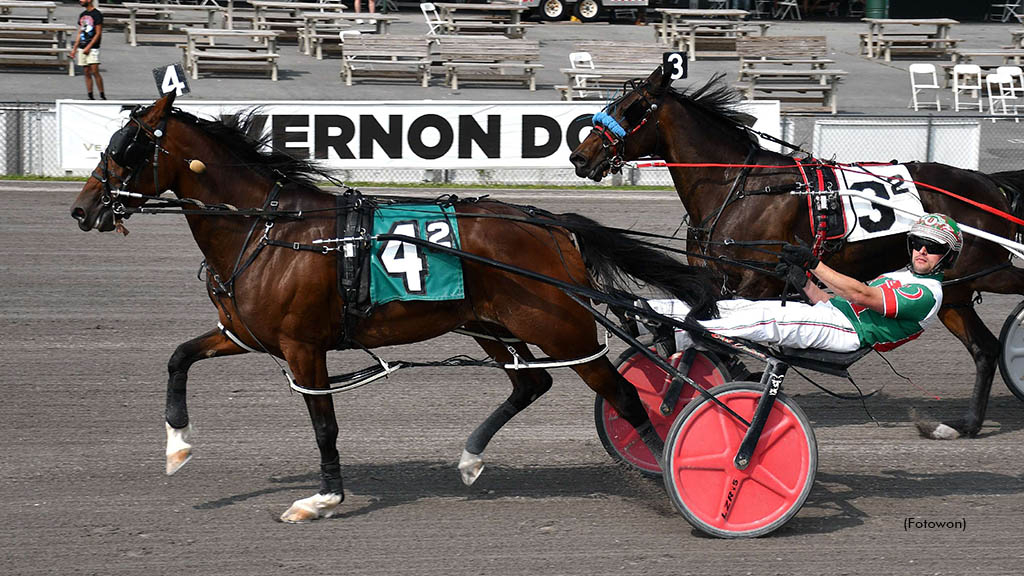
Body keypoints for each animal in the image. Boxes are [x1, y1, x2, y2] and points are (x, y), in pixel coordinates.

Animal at [70, 91, 720, 522]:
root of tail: (553, 224)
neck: (270, 230)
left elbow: (324, 424)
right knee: (530, 384)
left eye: (127, 147)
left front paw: (322, 498)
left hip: (566, 330)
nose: (82, 208)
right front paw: (177, 446)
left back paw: (670, 476)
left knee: (624, 395)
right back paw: (470, 459)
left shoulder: (302, 348)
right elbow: (179, 357)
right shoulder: (246, 333)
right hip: (490, 323)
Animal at [569, 63, 1024, 438]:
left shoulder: (758, 282)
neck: (742, 187)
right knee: (985, 349)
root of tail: (989, 183)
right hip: (956, 292)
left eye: (631, 109)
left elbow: (722, 328)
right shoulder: (718, 277)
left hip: (983, 269)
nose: (579, 156)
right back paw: (966, 424)